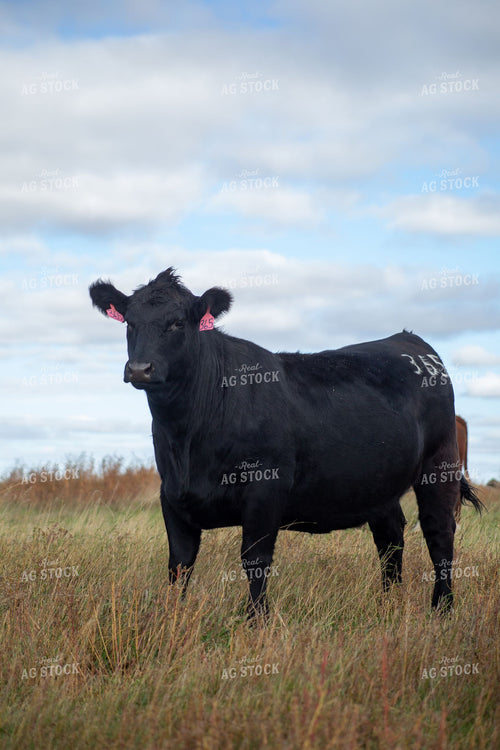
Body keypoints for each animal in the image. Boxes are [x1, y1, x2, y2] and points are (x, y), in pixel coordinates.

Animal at [89, 268, 483, 618]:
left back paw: (442, 609)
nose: (140, 369)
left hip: (440, 465)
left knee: (439, 533)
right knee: (390, 538)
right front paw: (173, 617)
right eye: (129, 323)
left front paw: (255, 620)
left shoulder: (265, 488)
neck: (188, 436)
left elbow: (255, 560)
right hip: (379, 481)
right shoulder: (171, 495)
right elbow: (180, 564)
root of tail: (410, 341)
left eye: (177, 323)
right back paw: (387, 606)